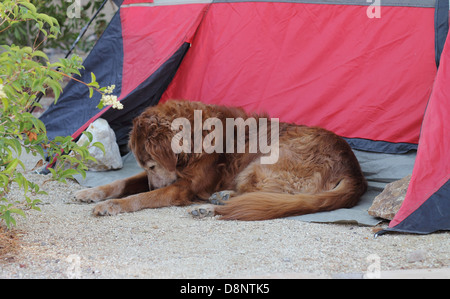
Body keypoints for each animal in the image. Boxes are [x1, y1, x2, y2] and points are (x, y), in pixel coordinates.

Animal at [75, 100, 368, 220]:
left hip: (263, 164)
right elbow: (122, 182)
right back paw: (221, 198)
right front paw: (92, 192)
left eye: (152, 165)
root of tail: (354, 172)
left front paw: (111, 205)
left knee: (262, 198)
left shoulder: (182, 187)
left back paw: (210, 207)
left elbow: (138, 197)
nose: (154, 184)